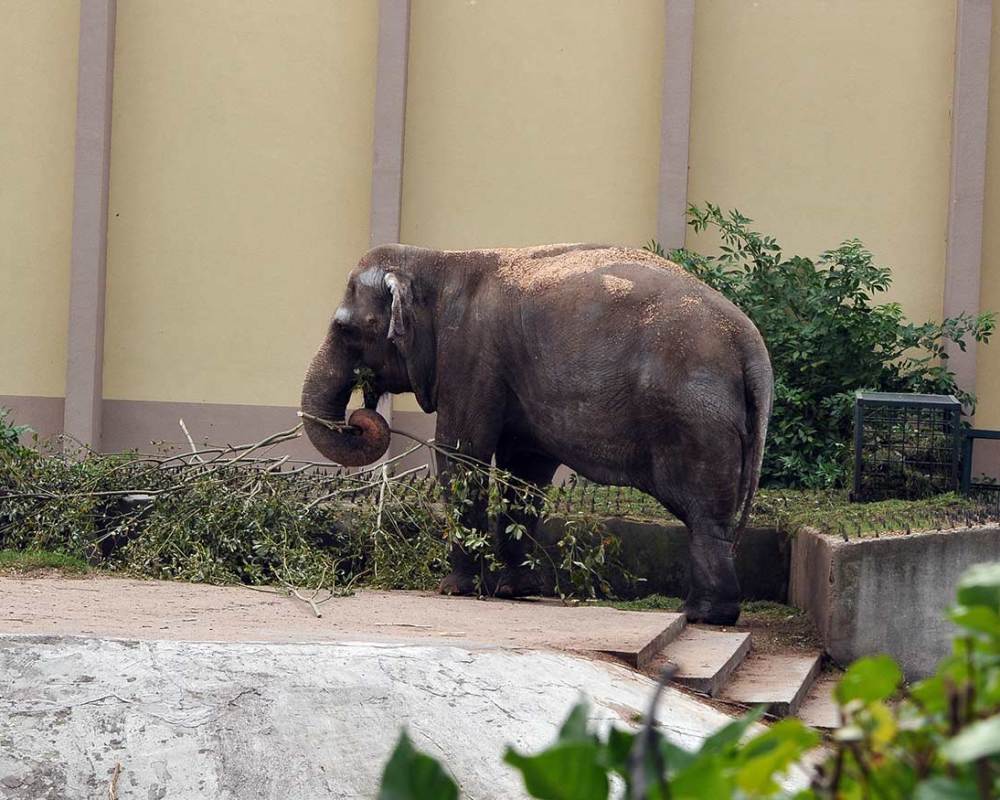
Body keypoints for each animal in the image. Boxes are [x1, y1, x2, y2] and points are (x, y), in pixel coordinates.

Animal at [298, 244, 772, 624]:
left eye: (345, 329)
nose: (360, 415)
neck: (438, 260)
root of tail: (751, 344)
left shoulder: (471, 358)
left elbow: (461, 455)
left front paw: (456, 588)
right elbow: (523, 471)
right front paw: (514, 591)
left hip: (692, 417)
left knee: (701, 511)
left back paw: (702, 614)